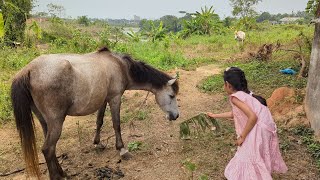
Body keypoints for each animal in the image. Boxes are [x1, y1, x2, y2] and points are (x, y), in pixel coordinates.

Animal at [10, 47, 180, 179]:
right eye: (172, 95)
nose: (176, 116)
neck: (120, 66)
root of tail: (28, 70)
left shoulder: (103, 100)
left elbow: (99, 121)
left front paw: (97, 143)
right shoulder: (115, 98)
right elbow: (116, 124)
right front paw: (122, 149)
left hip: (44, 121)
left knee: (51, 149)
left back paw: (62, 172)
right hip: (56, 121)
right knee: (47, 149)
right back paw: (58, 176)